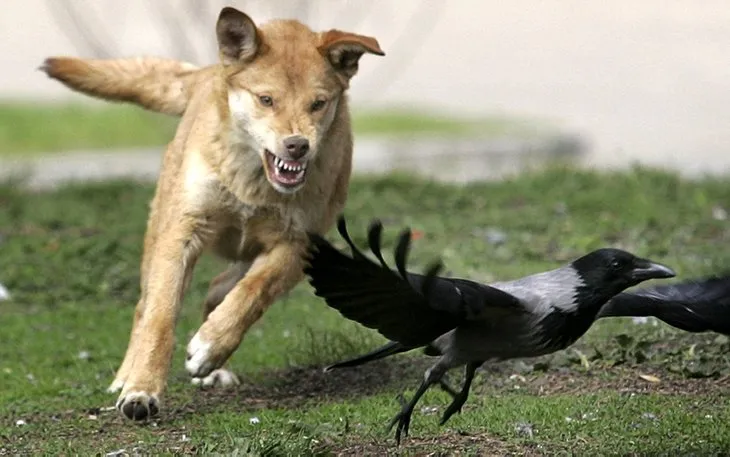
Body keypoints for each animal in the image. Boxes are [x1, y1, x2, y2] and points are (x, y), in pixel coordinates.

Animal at [41, 6, 382, 420]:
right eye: (266, 99)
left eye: (318, 103)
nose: (297, 145)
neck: (252, 181)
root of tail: (209, 71)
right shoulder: (182, 233)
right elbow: (160, 316)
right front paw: (142, 389)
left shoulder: (296, 244)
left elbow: (253, 291)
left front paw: (209, 348)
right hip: (160, 233)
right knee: (144, 307)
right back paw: (127, 375)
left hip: (253, 254)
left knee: (220, 288)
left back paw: (213, 361)